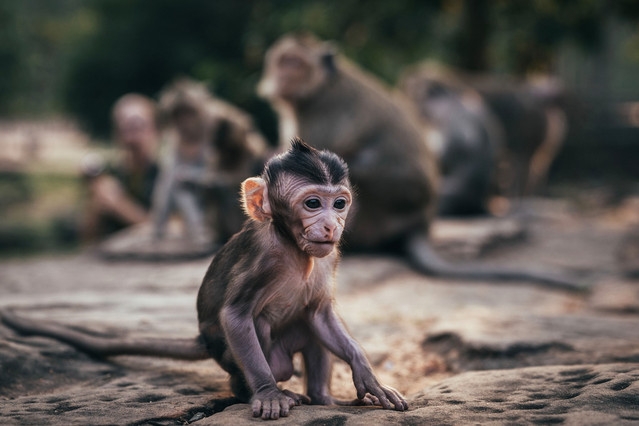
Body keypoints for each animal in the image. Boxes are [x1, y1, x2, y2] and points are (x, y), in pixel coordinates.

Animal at [2, 139, 408, 420]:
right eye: (312, 204)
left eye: (339, 203)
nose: (331, 226)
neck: (296, 250)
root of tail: (203, 338)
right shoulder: (263, 259)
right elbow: (236, 315)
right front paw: (267, 393)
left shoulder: (329, 257)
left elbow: (322, 314)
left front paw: (370, 379)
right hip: (226, 351)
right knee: (263, 337)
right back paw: (257, 390)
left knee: (309, 325)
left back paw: (323, 397)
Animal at [258, 35, 584, 292]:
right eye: (280, 61)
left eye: (294, 63)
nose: (281, 77)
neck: (317, 89)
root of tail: (419, 223)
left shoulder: (319, 116)